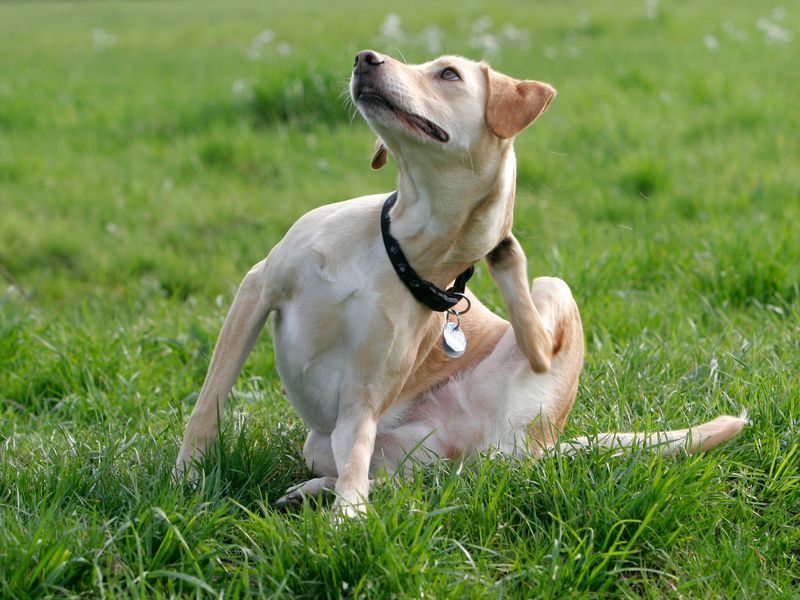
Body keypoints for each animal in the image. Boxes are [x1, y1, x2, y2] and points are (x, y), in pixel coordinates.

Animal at [173, 50, 744, 516]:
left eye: (448, 74)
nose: (364, 58)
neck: (399, 247)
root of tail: (537, 447)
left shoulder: (364, 391)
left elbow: (354, 454)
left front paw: (344, 521)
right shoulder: (257, 290)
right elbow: (209, 401)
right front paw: (188, 478)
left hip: (546, 309)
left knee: (528, 354)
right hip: (337, 446)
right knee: (395, 480)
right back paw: (317, 492)